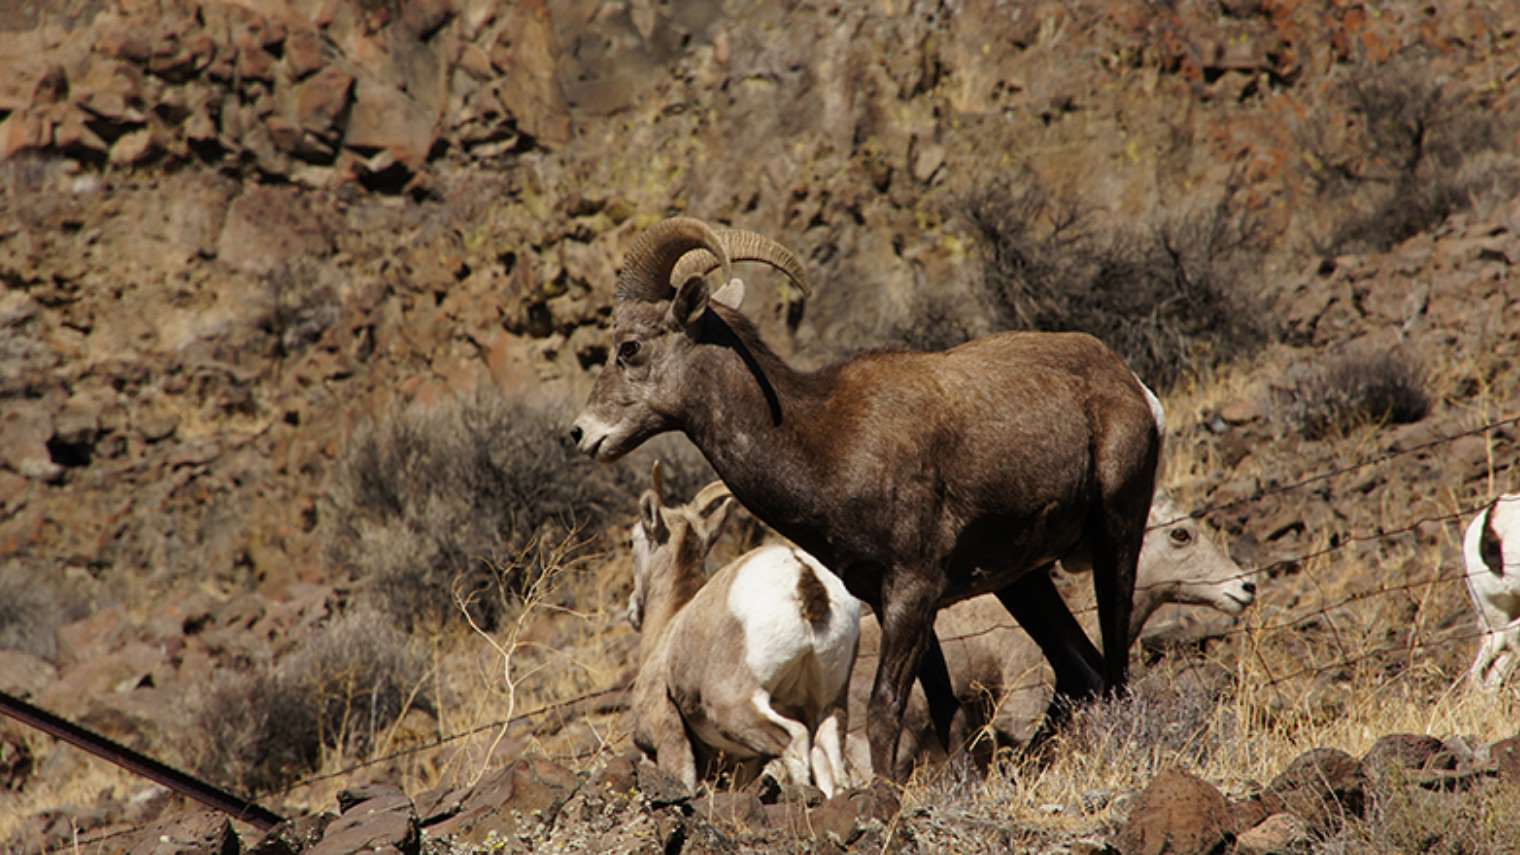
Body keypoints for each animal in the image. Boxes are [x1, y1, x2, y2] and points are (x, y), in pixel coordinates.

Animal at [625, 464, 860, 796]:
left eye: (632, 541)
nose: (633, 610)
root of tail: (802, 574)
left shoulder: (666, 737)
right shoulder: (744, 764)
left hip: (735, 706)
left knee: (794, 740)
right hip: (829, 702)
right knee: (831, 766)